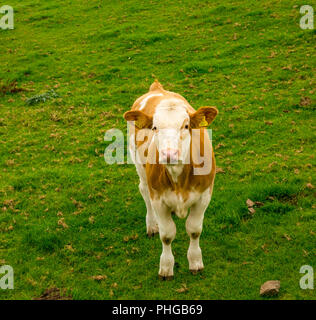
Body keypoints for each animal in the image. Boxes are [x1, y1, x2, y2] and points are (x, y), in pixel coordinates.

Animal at [123, 80, 217, 280]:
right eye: (154, 127)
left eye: (186, 126)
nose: (169, 154)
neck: (178, 178)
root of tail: (157, 89)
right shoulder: (158, 199)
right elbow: (167, 235)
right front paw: (166, 266)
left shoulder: (204, 196)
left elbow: (194, 230)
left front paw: (195, 261)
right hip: (139, 168)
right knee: (143, 190)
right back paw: (152, 225)